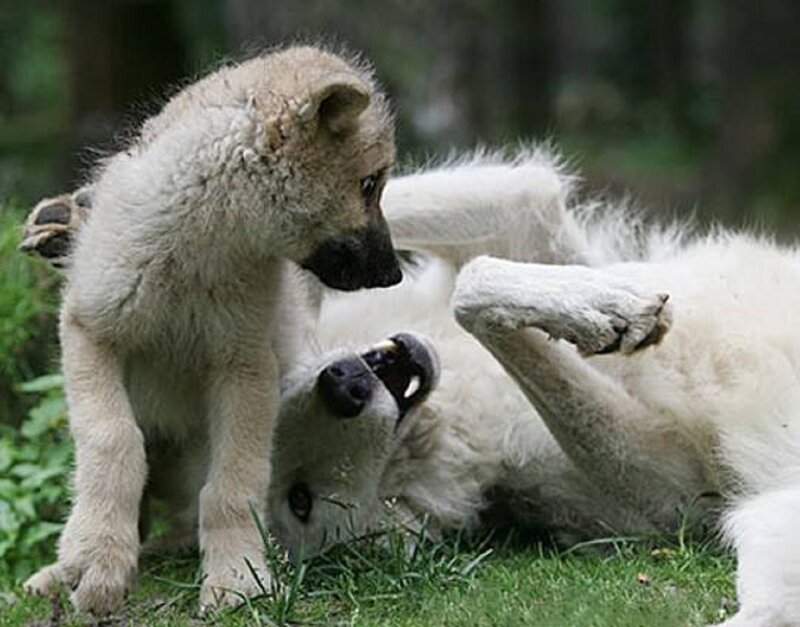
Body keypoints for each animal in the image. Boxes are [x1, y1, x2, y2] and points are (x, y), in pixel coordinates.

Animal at [22, 45, 400, 615]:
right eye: (369, 183)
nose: (395, 275)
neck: (199, 243)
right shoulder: (92, 331)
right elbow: (113, 441)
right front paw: (94, 560)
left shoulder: (243, 368)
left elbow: (232, 484)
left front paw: (238, 579)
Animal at [24, 149, 800, 625]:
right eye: (299, 500)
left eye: (276, 397)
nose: (344, 382)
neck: (461, 411)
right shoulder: (664, 495)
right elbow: (472, 291)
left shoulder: (533, 221)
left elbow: (451, 240)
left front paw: (92, 220)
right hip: (767, 521)